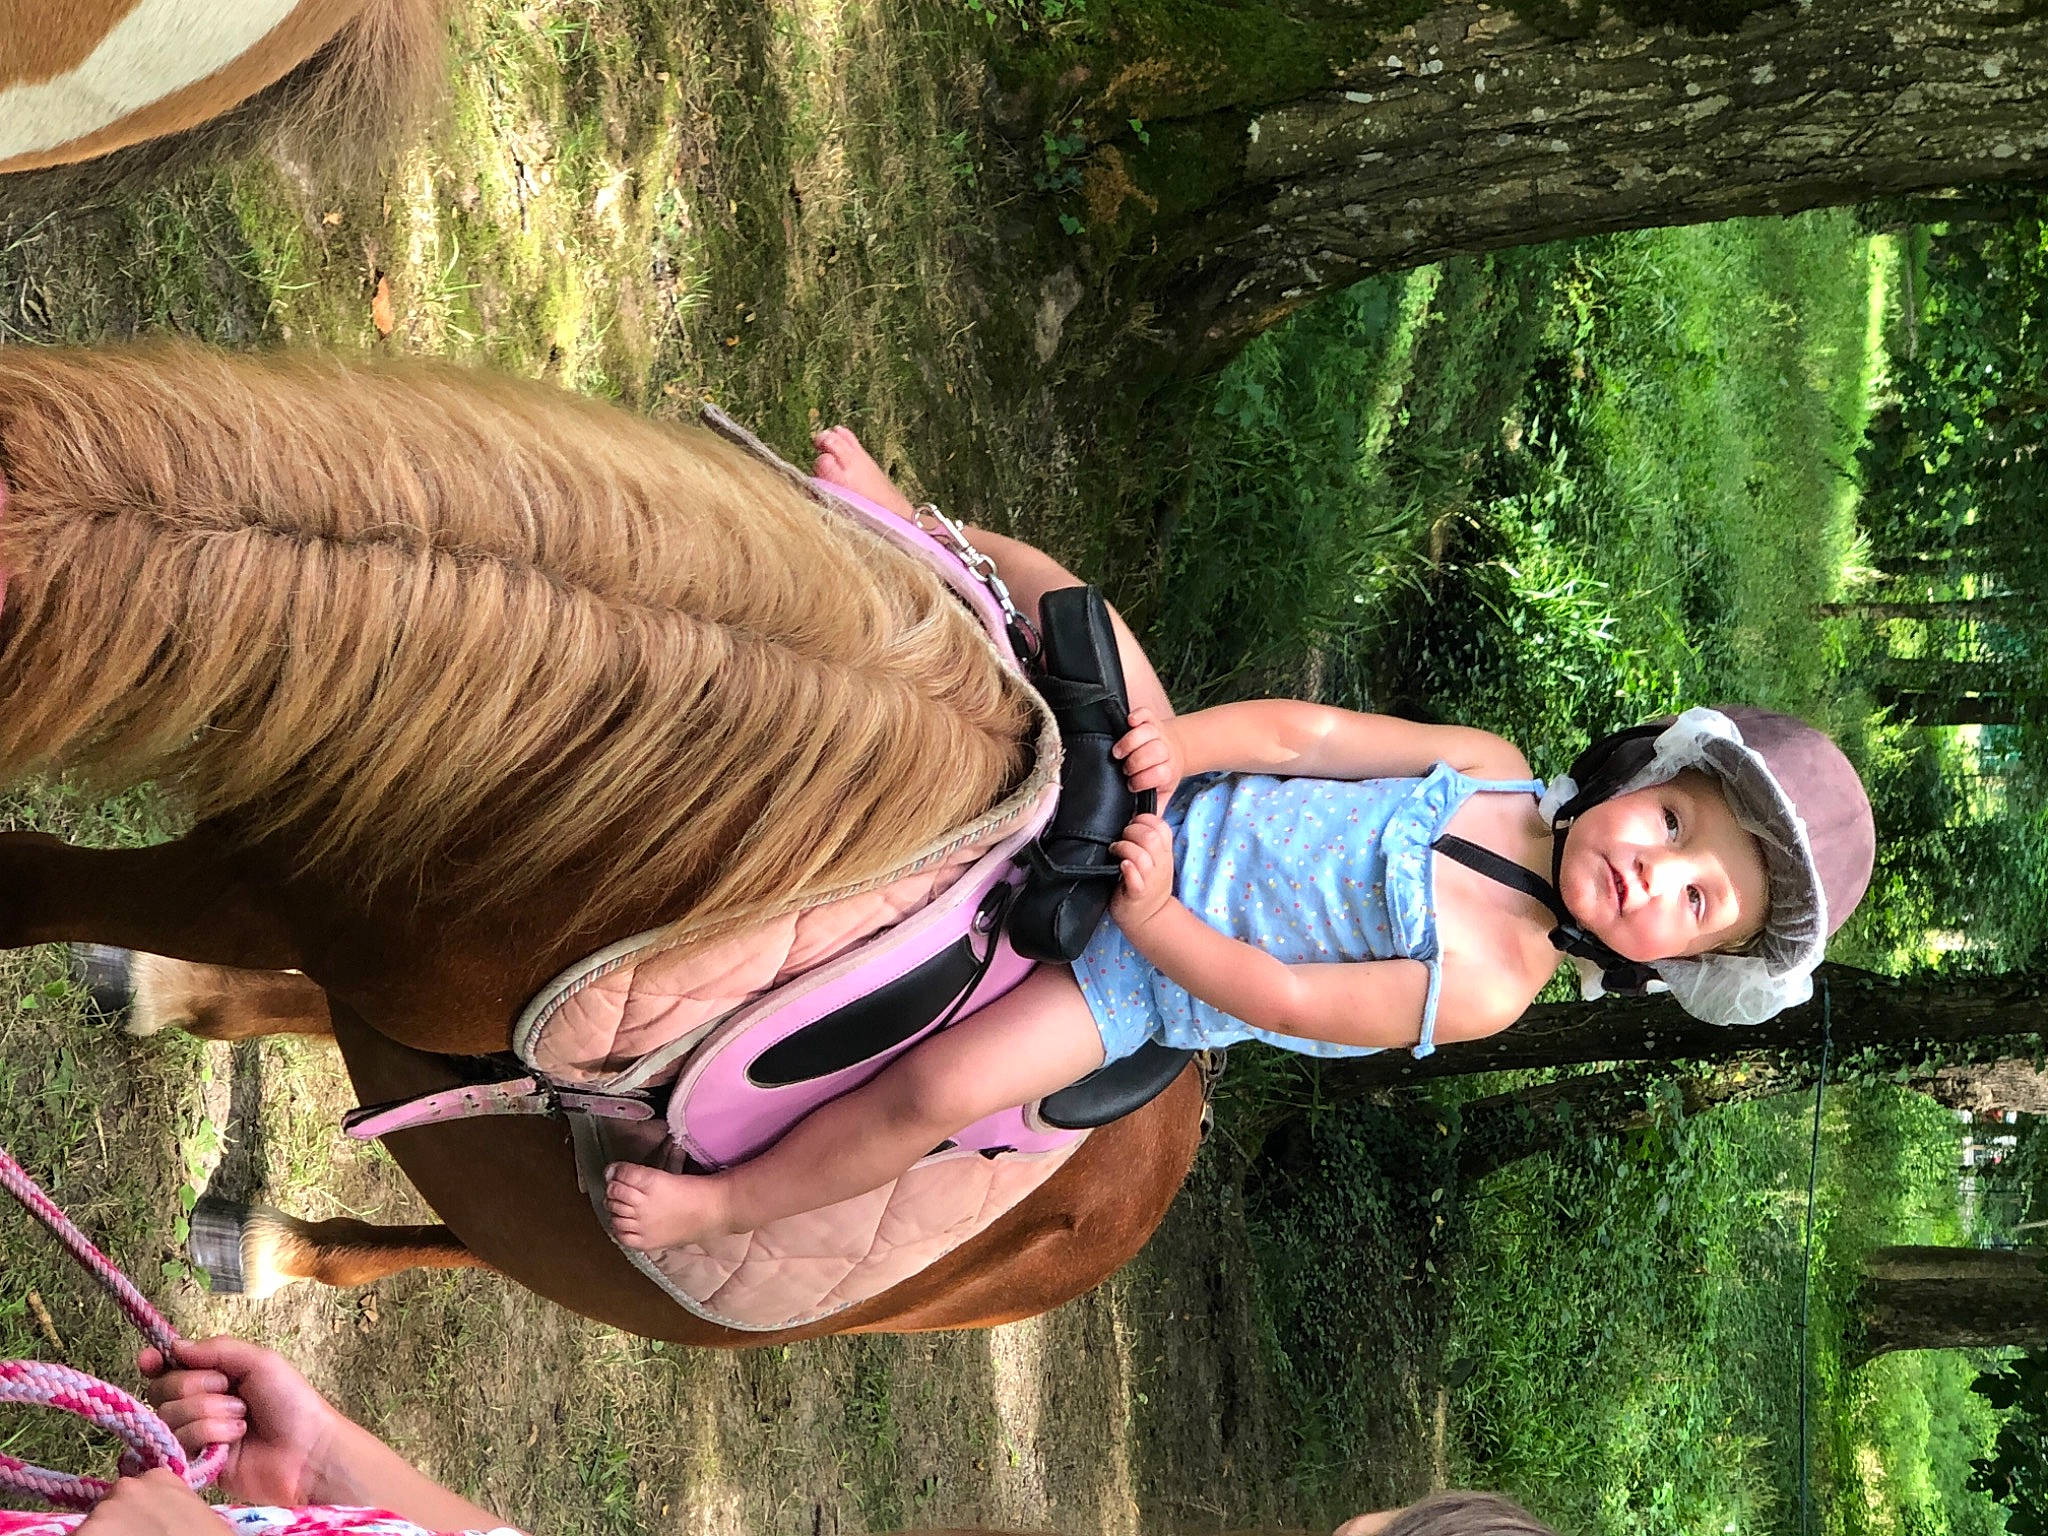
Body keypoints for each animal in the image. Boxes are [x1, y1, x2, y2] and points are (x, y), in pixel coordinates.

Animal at [0, 341, 1205, 1343]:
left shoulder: (255, 885)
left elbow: (30, 883)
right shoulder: (284, 855)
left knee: (467, 1234)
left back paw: (276, 1247)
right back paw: (164, 995)